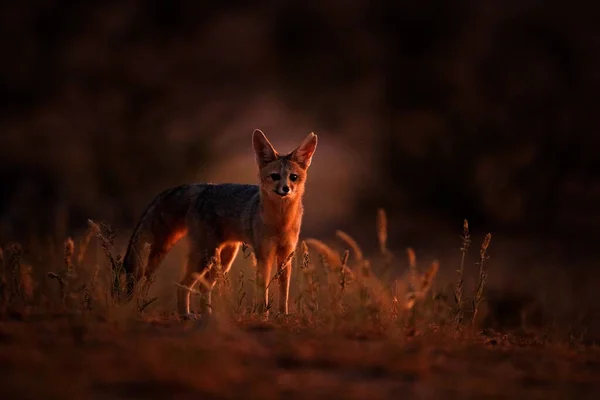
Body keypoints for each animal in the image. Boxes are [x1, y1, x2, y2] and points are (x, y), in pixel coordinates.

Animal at [119, 129, 322, 318]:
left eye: (293, 177)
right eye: (275, 176)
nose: (285, 189)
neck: (281, 222)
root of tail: (203, 187)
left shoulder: (286, 256)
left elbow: (283, 293)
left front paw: (282, 316)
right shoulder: (264, 256)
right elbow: (262, 291)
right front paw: (263, 316)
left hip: (224, 258)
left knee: (203, 288)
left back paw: (207, 316)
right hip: (206, 256)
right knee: (183, 285)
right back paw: (186, 315)